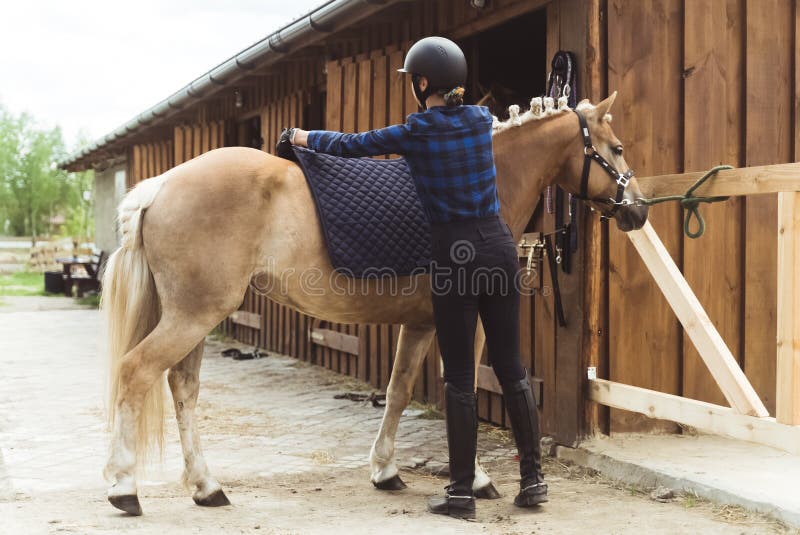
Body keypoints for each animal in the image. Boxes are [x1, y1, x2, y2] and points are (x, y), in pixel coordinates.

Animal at [101, 91, 648, 516]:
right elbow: (464, 389)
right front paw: (474, 481)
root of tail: (160, 186)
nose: (638, 210)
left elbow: (399, 389)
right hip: (193, 316)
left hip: (195, 317)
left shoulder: (421, 324)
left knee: (183, 386)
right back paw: (125, 488)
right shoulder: (467, 323)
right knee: (136, 372)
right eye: (617, 149)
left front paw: (385, 469)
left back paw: (206, 487)